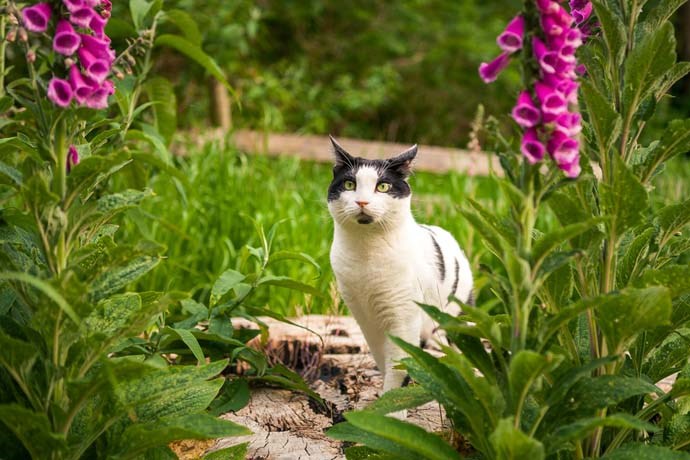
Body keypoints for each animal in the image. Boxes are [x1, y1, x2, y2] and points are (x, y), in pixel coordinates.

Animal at [328, 136, 472, 402]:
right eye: (350, 184)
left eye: (383, 187)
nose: (362, 201)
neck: (367, 255)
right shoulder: (365, 318)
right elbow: (383, 359)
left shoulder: (403, 317)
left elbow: (399, 365)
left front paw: (393, 406)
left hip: (456, 316)